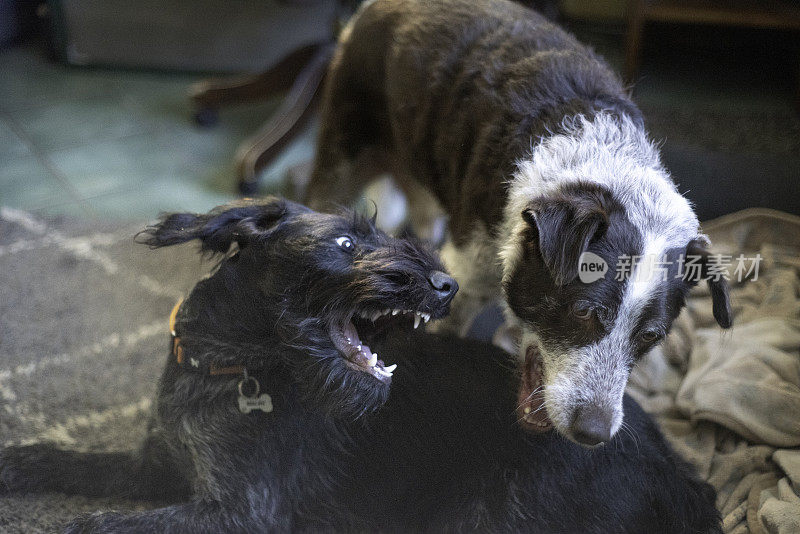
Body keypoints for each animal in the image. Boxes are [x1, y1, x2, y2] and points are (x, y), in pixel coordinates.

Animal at [0, 199, 456, 532]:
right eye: (345, 243)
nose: (448, 285)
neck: (216, 366)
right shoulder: (156, 465)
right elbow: (68, 460)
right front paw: (12, 464)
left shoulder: (243, 511)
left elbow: (112, 524)